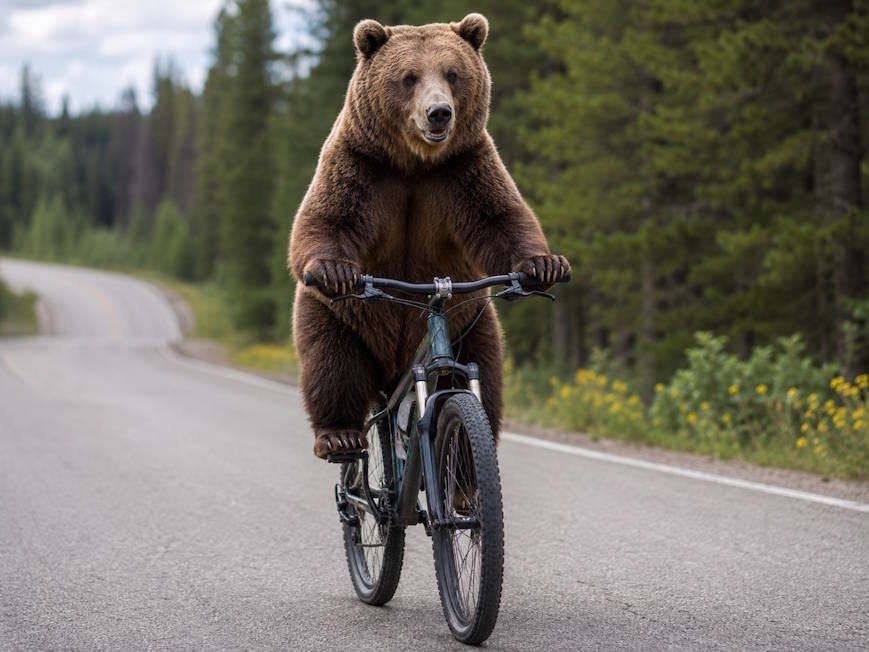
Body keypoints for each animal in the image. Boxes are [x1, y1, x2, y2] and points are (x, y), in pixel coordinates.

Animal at [288, 13, 570, 459]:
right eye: (409, 77)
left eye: (452, 74)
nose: (439, 113)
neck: (414, 162)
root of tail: (395, 372)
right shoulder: (359, 165)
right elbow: (328, 217)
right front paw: (334, 267)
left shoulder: (464, 170)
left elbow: (502, 218)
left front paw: (543, 264)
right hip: (340, 316)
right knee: (331, 364)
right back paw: (338, 434)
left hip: (472, 322)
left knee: (486, 378)